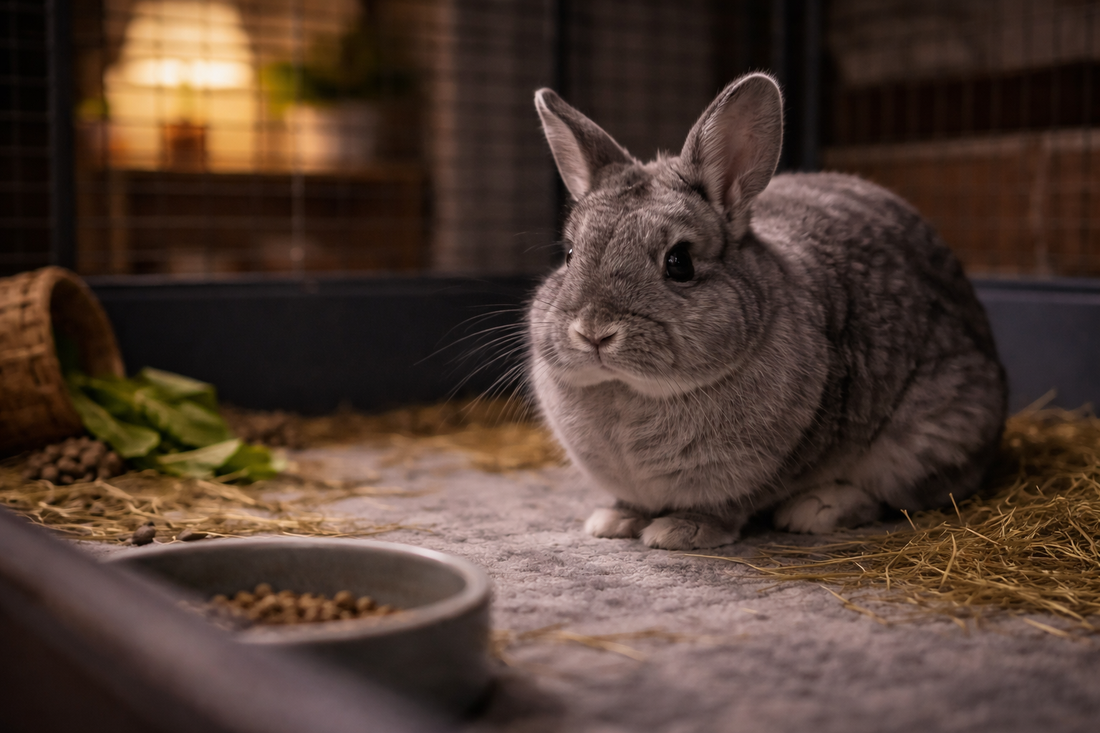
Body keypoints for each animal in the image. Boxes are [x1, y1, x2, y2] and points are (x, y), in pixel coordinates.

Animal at [526, 72, 1007, 551]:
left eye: (680, 262)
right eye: (570, 254)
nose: (594, 331)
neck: (630, 391)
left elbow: (727, 506)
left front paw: (680, 532)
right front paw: (613, 521)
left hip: (926, 439)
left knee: (898, 495)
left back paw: (816, 510)